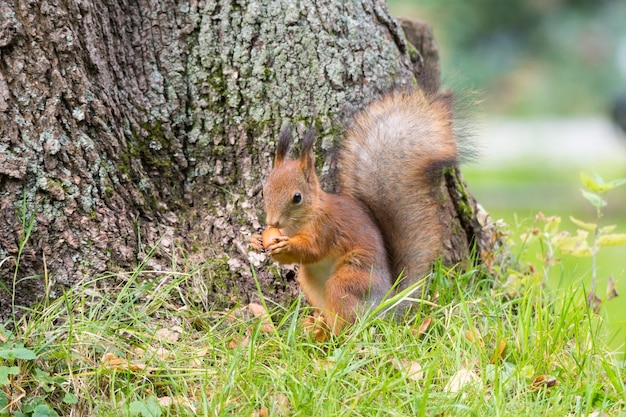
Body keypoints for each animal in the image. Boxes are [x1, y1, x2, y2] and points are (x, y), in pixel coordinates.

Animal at [250, 89, 458, 340]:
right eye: (264, 190)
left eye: (297, 197)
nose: (272, 221)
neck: (298, 223)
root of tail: (384, 305)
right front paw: (255, 240)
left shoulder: (326, 227)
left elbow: (312, 250)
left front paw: (285, 246)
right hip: (310, 282)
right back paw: (319, 329)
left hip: (351, 279)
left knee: (349, 315)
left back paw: (337, 338)